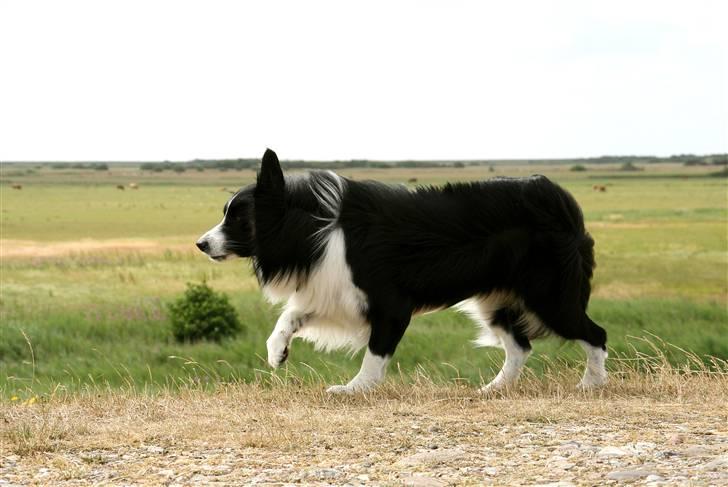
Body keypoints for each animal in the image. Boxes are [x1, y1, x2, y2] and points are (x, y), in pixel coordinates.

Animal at [195, 149, 608, 392]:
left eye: (238, 218)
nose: (201, 244)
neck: (309, 226)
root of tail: (560, 199)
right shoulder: (335, 291)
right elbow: (291, 316)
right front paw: (277, 352)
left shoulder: (390, 304)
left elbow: (375, 353)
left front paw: (355, 389)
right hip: (496, 299)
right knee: (520, 346)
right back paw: (494, 389)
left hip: (548, 295)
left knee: (596, 334)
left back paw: (591, 384)